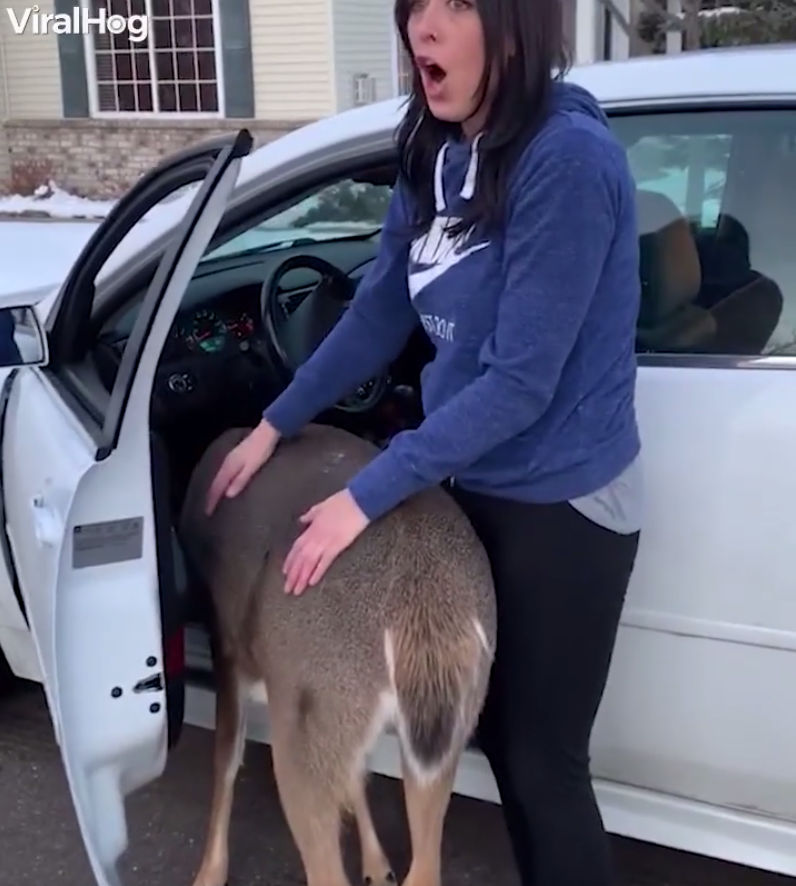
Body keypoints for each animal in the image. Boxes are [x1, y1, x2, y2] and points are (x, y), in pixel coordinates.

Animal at [177, 424, 494, 886]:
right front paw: (377, 865)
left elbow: (226, 759)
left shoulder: (228, 646)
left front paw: (208, 873)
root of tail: (420, 594)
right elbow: (355, 776)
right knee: (425, 861)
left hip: (307, 714)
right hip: (451, 719)